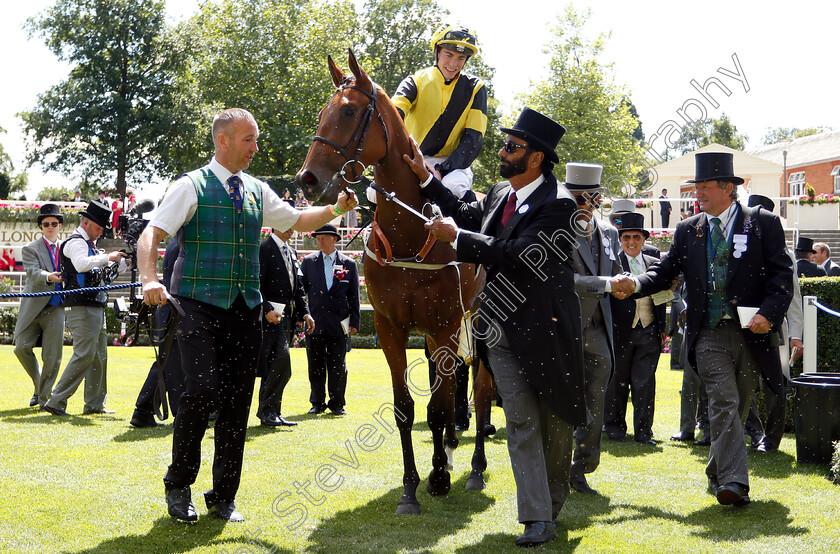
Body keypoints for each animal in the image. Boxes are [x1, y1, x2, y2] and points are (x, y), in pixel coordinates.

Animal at [296, 49, 492, 512]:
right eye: (322, 112)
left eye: (349, 111)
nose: (307, 180)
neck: (411, 231)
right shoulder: (390, 327)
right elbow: (407, 406)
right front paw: (410, 487)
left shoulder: (443, 324)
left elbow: (438, 406)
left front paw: (437, 479)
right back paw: (451, 451)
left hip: (479, 321)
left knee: (480, 388)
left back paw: (474, 467)